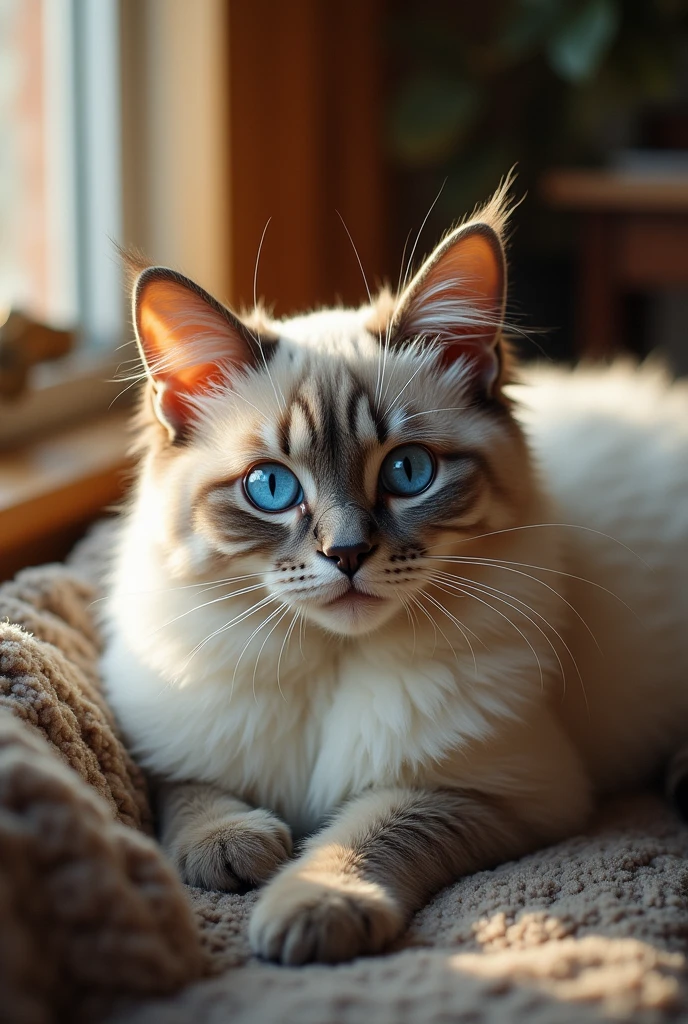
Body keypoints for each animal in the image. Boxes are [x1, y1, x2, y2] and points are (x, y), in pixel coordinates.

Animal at [100, 186, 688, 966]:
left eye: (409, 473)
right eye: (270, 487)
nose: (347, 554)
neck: (329, 662)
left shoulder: (495, 789)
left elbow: (365, 833)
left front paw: (311, 909)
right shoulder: (169, 746)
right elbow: (188, 792)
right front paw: (232, 848)